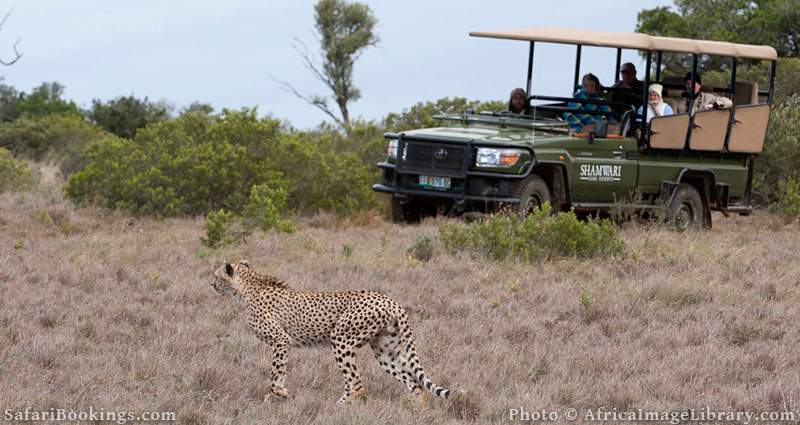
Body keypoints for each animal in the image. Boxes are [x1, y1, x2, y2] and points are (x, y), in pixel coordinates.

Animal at [209, 260, 454, 402]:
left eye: (216, 276)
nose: (211, 285)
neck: (248, 289)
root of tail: (389, 299)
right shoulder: (283, 342)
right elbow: (280, 371)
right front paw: (282, 391)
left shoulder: (281, 340)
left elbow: (275, 373)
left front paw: (281, 392)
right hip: (386, 351)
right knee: (414, 383)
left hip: (341, 339)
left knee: (357, 385)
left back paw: (341, 407)